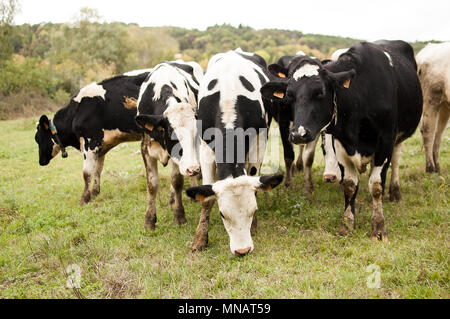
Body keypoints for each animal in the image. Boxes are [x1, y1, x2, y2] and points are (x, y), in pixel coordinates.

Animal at [33, 69, 153, 205]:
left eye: (37, 138)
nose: (41, 161)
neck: (76, 112)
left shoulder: (90, 142)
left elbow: (87, 172)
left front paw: (84, 199)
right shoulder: (101, 146)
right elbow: (97, 169)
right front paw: (95, 193)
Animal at [134, 59, 204, 230]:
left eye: (196, 133)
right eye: (172, 134)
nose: (192, 168)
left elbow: (177, 181)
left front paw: (179, 216)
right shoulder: (145, 149)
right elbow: (152, 184)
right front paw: (149, 220)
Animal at [183, 48, 282, 258]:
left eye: (253, 210)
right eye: (222, 214)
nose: (242, 250)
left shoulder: (259, 141)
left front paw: (254, 226)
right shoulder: (205, 148)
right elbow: (207, 198)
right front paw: (200, 238)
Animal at [262, 40, 424, 241]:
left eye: (320, 92)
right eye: (290, 94)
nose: (298, 134)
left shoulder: (385, 141)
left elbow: (376, 185)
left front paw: (378, 228)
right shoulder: (340, 143)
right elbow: (349, 185)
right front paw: (347, 225)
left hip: (398, 138)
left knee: (395, 161)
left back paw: (394, 192)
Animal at [414, 42, 450, 174]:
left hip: (444, 104)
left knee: (438, 133)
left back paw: (438, 167)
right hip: (431, 97)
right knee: (428, 130)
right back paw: (430, 167)